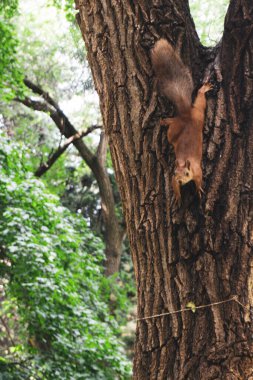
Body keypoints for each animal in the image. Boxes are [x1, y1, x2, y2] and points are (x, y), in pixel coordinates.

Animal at [150, 38, 211, 203]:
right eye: (175, 173)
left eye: (186, 173)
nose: (180, 180)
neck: (185, 161)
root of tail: (187, 115)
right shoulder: (173, 177)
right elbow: (173, 184)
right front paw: (177, 195)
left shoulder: (197, 169)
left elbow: (199, 178)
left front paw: (199, 188)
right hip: (193, 116)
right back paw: (165, 121)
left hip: (198, 114)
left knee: (199, 102)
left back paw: (203, 90)